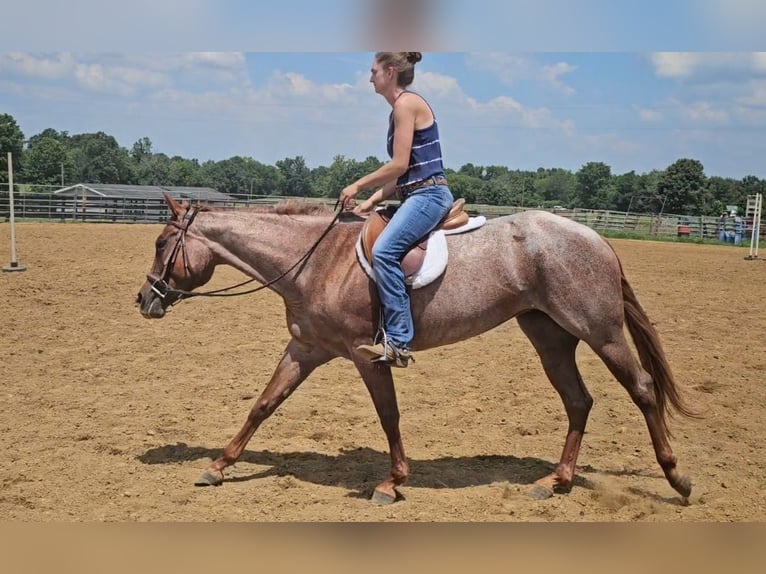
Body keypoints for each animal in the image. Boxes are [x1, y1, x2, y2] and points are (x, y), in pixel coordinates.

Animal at [135, 196, 700, 506]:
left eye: (162, 243)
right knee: (579, 401)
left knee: (642, 389)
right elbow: (263, 405)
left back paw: (676, 477)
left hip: (600, 331)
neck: (317, 261)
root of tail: (596, 238)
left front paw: (392, 482)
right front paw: (218, 466)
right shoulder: (306, 348)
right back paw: (554, 481)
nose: (145, 299)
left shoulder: (366, 355)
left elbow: (389, 416)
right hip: (549, 336)